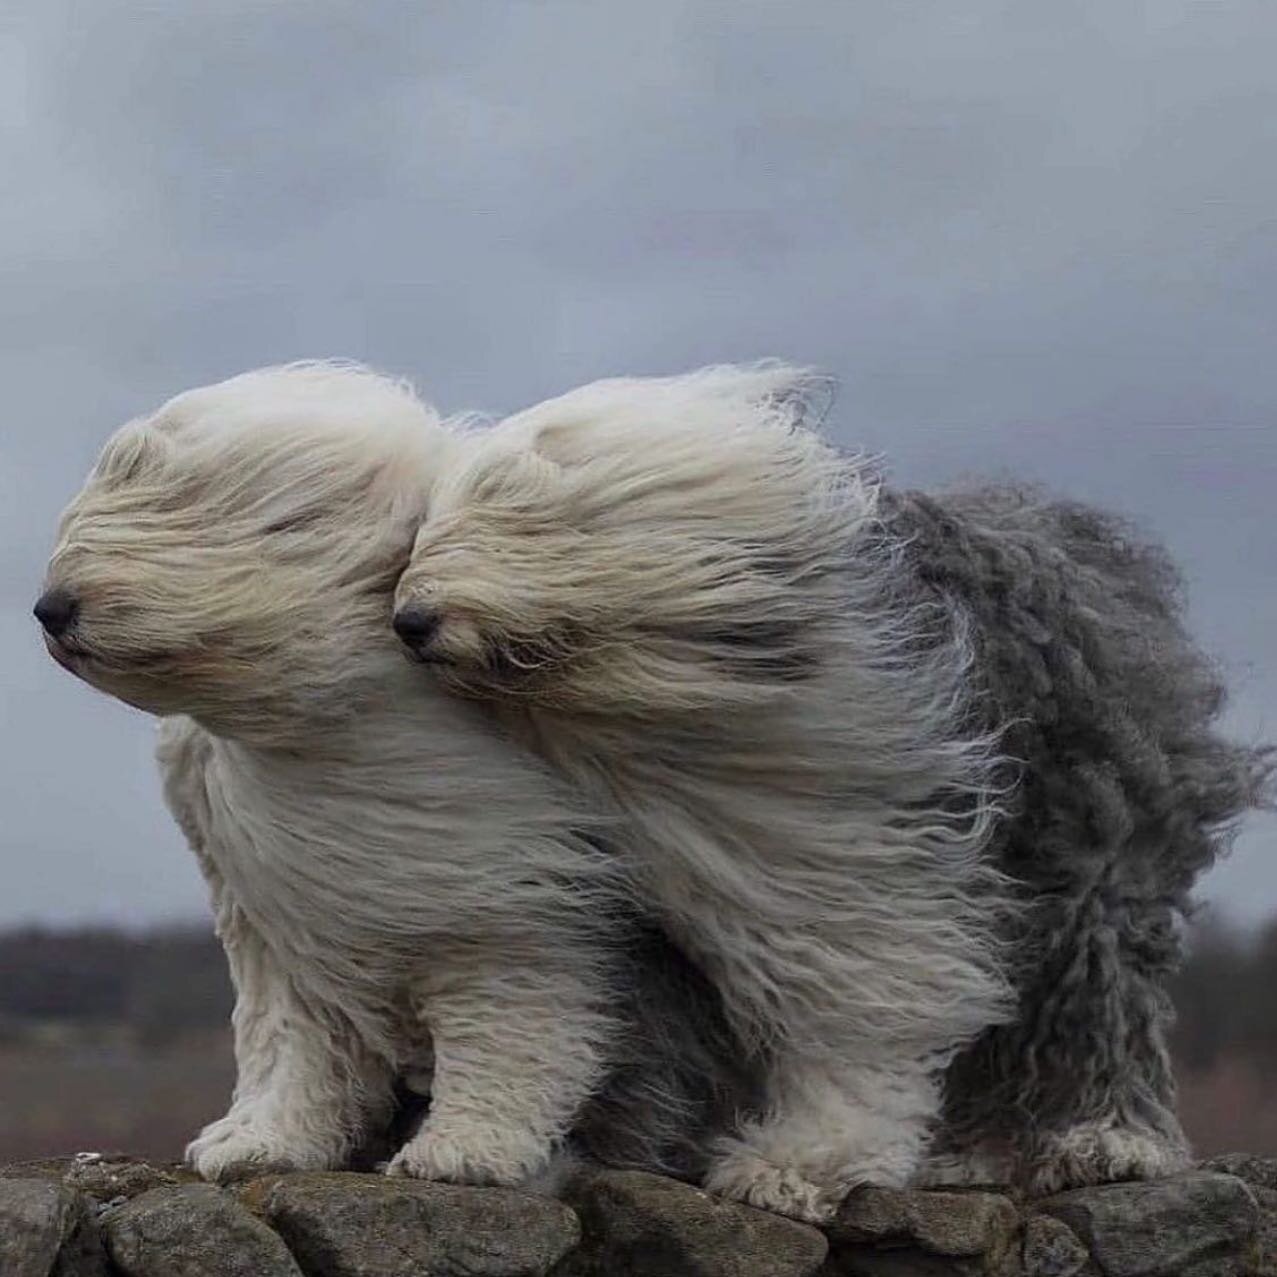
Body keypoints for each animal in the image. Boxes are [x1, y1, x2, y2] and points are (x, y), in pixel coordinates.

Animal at [34, 365, 750, 1190]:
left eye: (179, 504)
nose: (51, 608)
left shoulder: (507, 897)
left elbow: (511, 1013)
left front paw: (462, 1152)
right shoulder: (273, 909)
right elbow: (293, 1034)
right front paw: (259, 1142)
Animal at [393, 362, 1271, 1215]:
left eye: (513, 516)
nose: (408, 619)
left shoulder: (849, 841)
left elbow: (857, 1000)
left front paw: (801, 1163)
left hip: (1090, 851)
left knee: (1096, 991)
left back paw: (1102, 1138)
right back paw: (972, 1157)